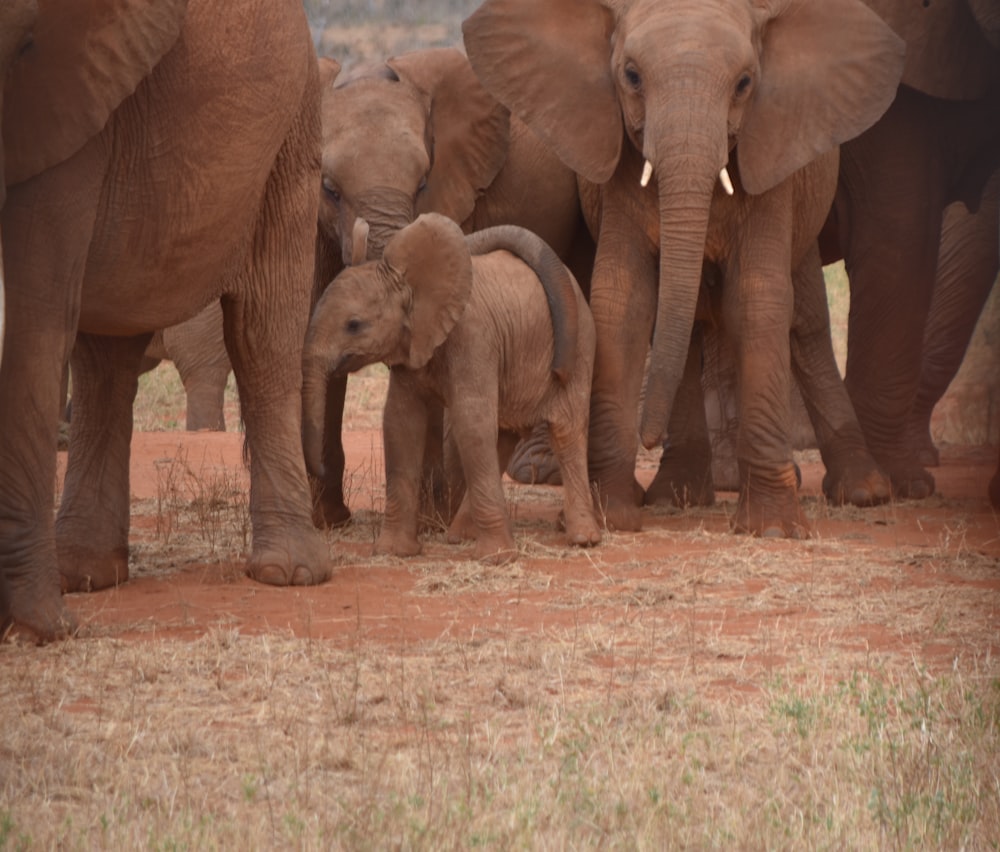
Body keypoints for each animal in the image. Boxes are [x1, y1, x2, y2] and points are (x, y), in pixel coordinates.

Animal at [1, 0, 334, 640]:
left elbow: (35, 319)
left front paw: (40, 628)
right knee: (104, 359)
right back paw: (86, 573)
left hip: (290, 132)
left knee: (261, 336)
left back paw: (289, 574)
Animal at [302, 212, 600, 564]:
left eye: (354, 325)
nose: (321, 469)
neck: (411, 283)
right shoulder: (413, 345)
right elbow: (400, 424)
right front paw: (394, 552)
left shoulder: (474, 338)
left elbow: (470, 422)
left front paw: (497, 558)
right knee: (502, 434)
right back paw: (460, 535)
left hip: (580, 346)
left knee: (565, 430)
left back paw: (583, 539)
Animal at [464, 0, 904, 536]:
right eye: (631, 76)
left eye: (745, 83)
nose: (647, 437)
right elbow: (623, 300)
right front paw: (615, 517)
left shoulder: (771, 169)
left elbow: (757, 299)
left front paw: (772, 529)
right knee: (691, 324)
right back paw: (678, 496)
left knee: (805, 323)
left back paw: (864, 492)